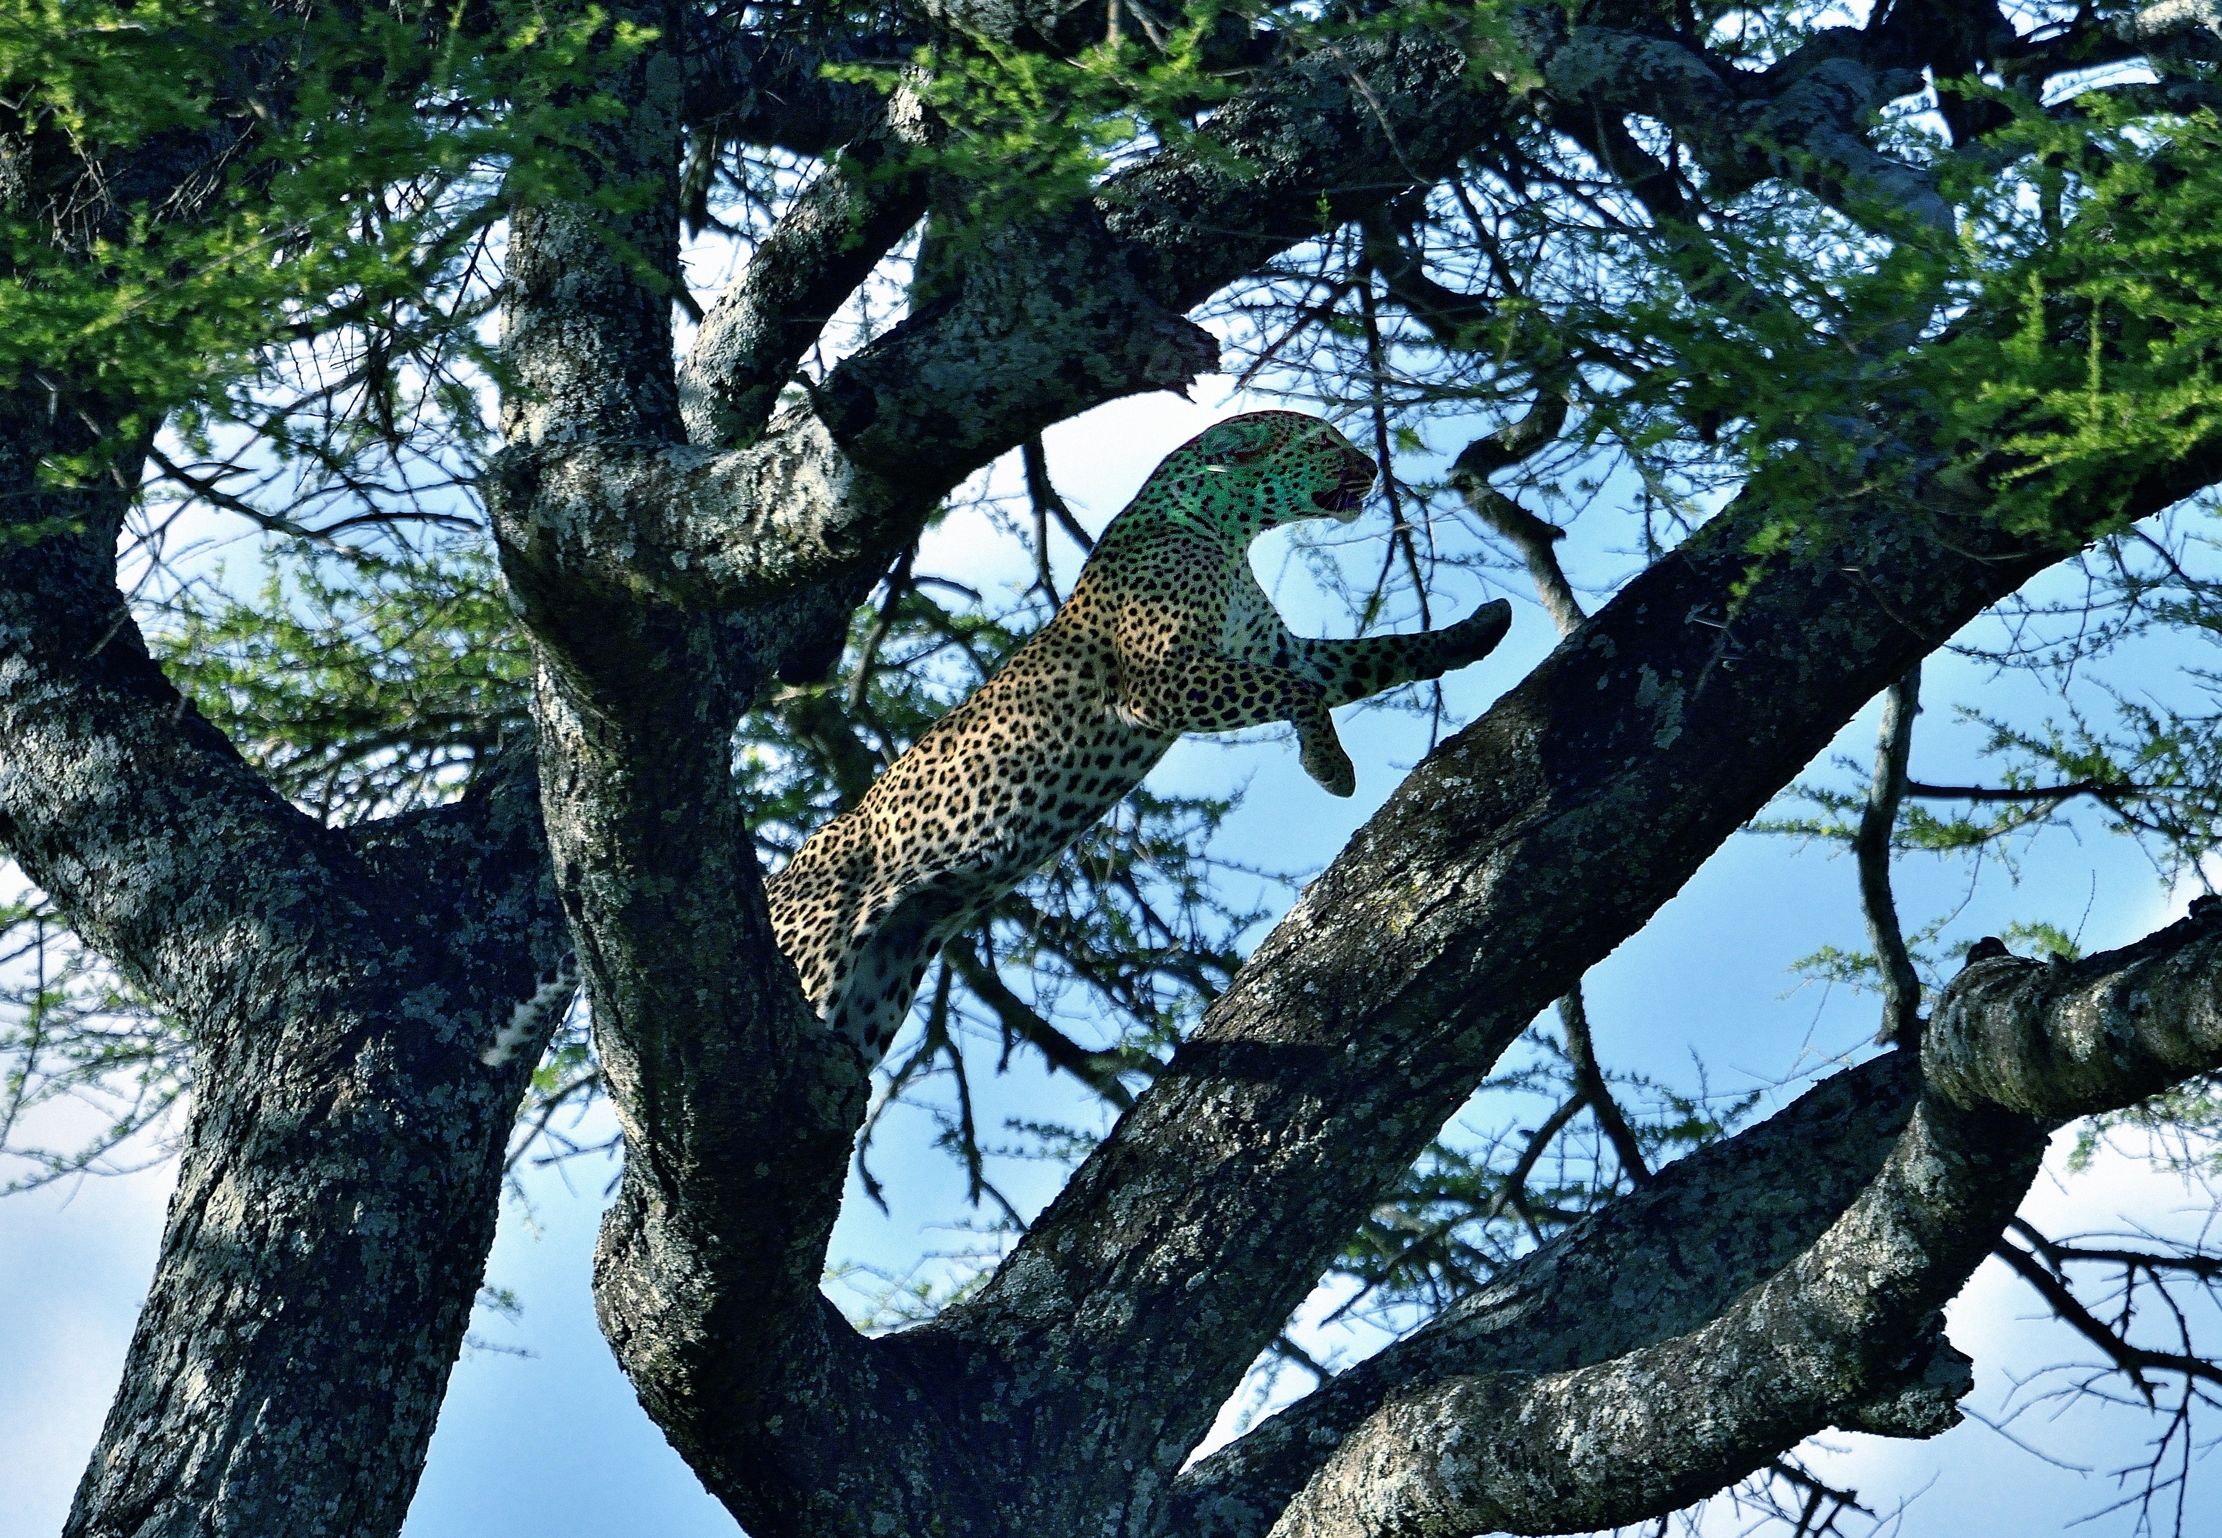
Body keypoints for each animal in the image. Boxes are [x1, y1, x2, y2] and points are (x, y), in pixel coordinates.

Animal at [767, 410, 1513, 1066]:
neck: (1228, 533)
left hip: (878, 988)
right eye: (1322, 442)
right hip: (818, 961)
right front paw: (1329, 766)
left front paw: (1476, 632)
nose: (1370, 465)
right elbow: (1299, 694)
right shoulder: (1161, 680)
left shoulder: (1279, 651)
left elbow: (1377, 655)